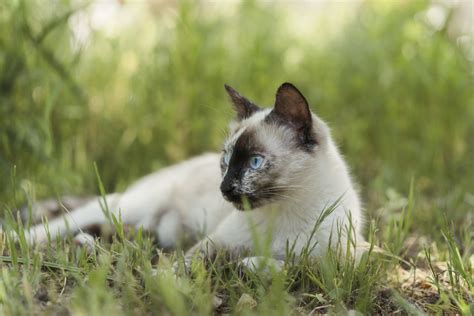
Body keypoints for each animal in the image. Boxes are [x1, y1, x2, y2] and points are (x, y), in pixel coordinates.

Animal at [20, 82, 364, 268]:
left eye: (254, 162)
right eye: (226, 159)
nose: (224, 189)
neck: (285, 210)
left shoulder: (336, 261)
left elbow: (288, 265)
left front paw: (253, 265)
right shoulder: (213, 244)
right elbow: (183, 267)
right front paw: (165, 282)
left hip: (149, 227)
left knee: (123, 236)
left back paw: (91, 245)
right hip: (127, 206)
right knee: (65, 221)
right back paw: (18, 238)